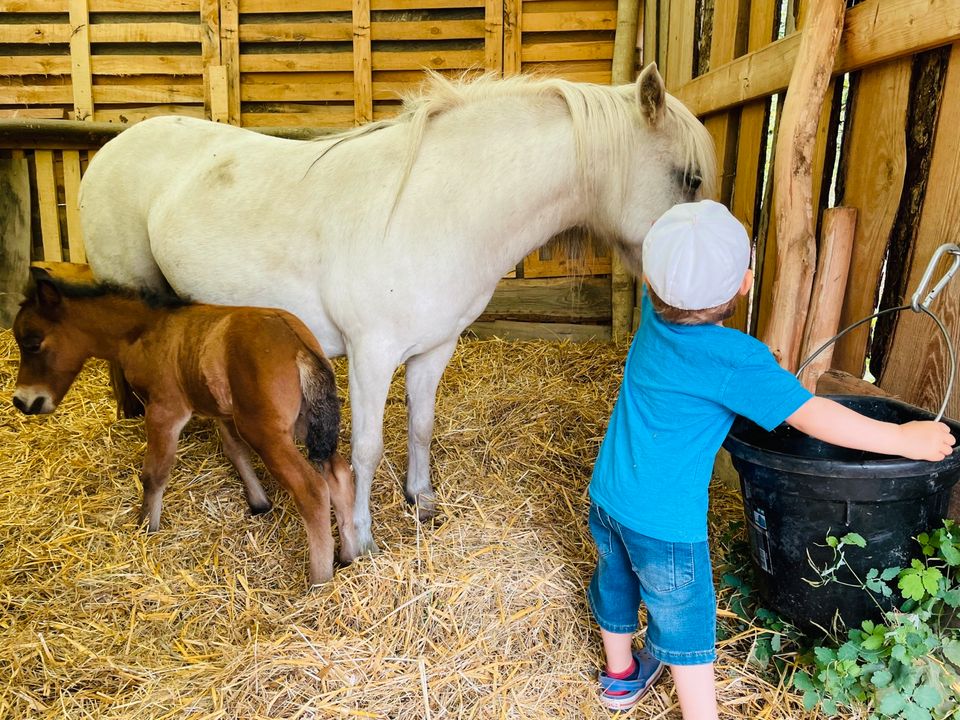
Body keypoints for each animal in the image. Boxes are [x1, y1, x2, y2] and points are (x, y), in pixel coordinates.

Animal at [13, 268, 358, 588]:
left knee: (312, 490)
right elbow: (235, 451)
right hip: (307, 422)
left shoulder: (165, 410)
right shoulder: (222, 410)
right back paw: (348, 556)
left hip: (267, 433)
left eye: (32, 343)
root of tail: (298, 344)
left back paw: (319, 581)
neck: (146, 330)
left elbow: (154, 473)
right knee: (338, 473)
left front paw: (146, 526)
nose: (22, 401)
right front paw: (259, 503)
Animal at [80, 64, 712, 556]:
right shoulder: (371, 355)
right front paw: (360, 539)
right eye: (690, 178)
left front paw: (421, 501)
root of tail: (110, 150)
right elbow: (364, 448)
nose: (709, 295)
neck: (439, 207)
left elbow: (421, 424)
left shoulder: (434, 348)